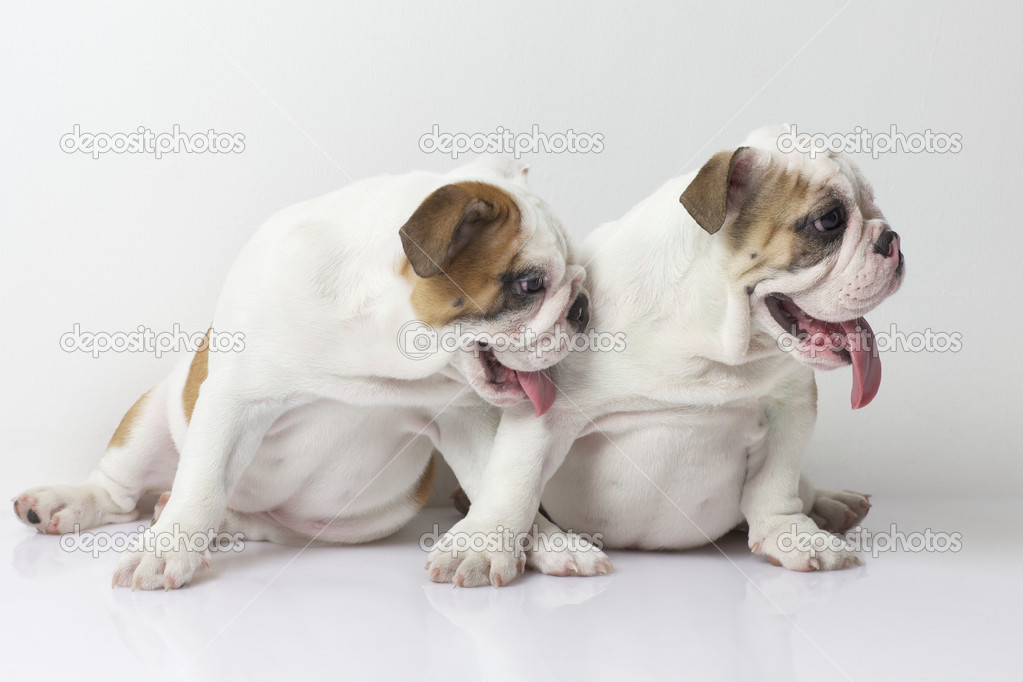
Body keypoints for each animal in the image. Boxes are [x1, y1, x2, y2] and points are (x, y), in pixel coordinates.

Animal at [14, 157, 605, 588]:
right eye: (530, 285)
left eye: (580, 280)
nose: (582, 309)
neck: (381, 340)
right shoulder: (234, 401)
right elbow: (201, 485)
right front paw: (166, 550)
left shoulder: (462, 421)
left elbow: (504, 487)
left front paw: (543, 543)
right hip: (149, 423)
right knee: (119, 491)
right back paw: (66, 503)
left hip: (366, 519)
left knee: (264, 524)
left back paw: (228, 522)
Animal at [448, 125, 904, 580]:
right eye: (829, 221)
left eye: (875, 206)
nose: (892, 238)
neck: (709, 336)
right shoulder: (545, 409)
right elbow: (514, 482)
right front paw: (483, 546)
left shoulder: (789, 407)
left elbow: (777, 480)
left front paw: (792, 534)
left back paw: (829, 504)